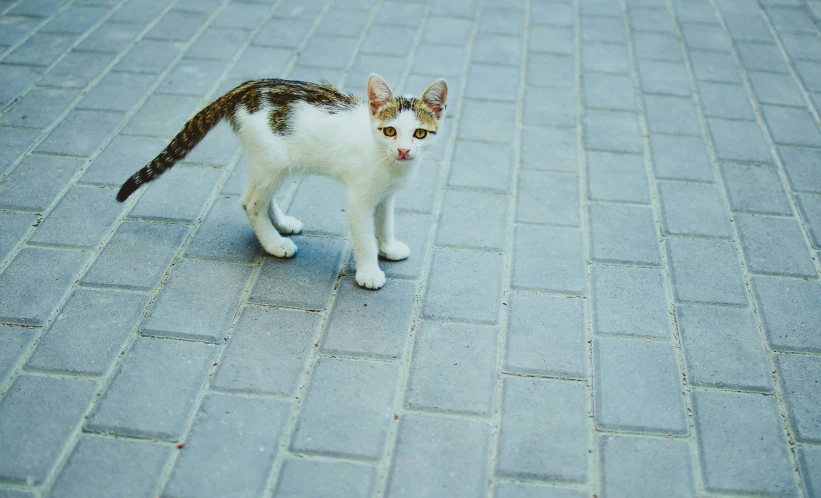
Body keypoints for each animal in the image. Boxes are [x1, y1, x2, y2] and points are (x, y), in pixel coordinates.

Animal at [118, 75, 446, 292]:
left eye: (419, 133)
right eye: (390, 131)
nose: (403, 150)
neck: (388, 162)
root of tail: (247, 87)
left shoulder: (386, 195)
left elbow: (385, 221)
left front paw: (388, 247)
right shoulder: (358, 197)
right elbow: (364, 236)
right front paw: (369, 271)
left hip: (276, 162)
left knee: (264, 195)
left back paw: (281, 223)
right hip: (273, 159)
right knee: (250, 201)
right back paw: (274, 243)